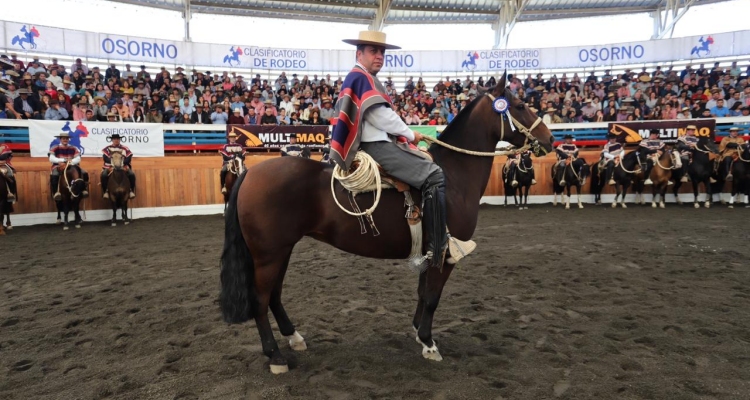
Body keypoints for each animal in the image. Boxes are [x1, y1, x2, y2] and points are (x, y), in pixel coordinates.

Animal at [220, 76, 556, 376]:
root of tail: (250, 173)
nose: (550, 139)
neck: (452, 176)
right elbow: (432, 297)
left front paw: (418, 332)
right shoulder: (445, 254)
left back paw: (294, 337)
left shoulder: (431, 251)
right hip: (269, 254)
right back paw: (275, 355)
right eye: (520, 105)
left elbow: (422, 293)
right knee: (260, 300)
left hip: (282, 250)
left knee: (274, 295)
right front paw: (429, 343)